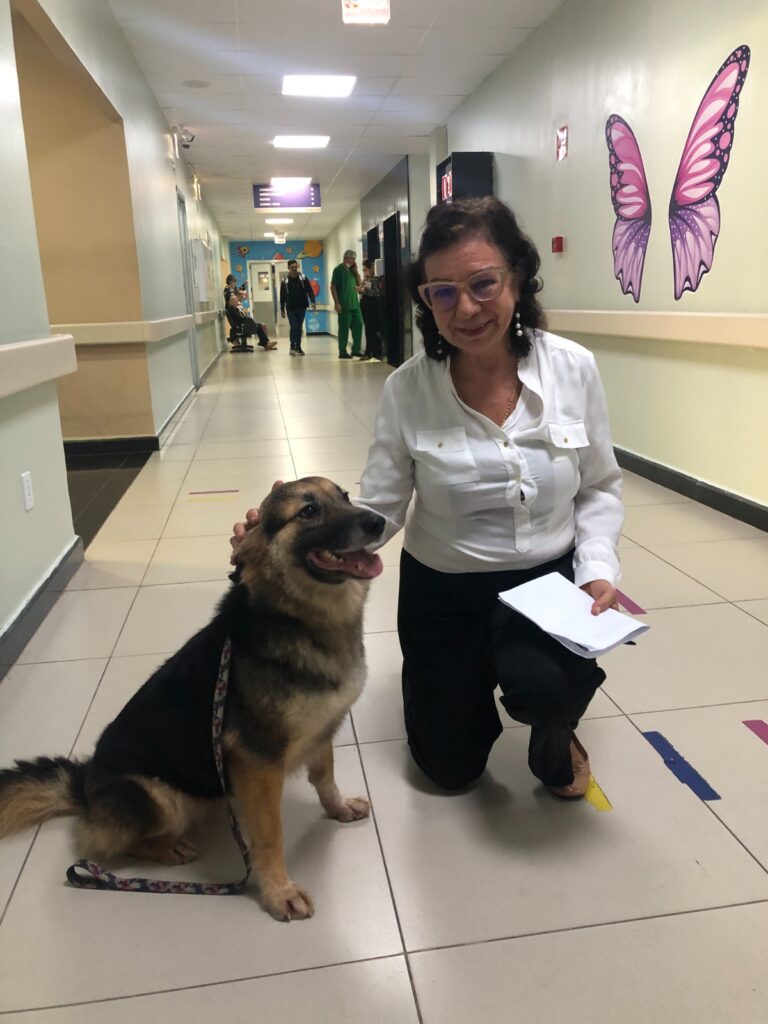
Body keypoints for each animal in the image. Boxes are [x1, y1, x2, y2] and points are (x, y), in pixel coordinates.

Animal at [0, 478, 385, 921]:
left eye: (344, 496)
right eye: (308, 511)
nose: (379, 522)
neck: (299, 618)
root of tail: (83, 787)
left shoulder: (322, 732)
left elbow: (325, 778)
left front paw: (337, 807)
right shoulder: (260, 764)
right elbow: (270, 835)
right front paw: (278, 890)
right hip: (159, 799)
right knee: (105, 841)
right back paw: (165, 847)